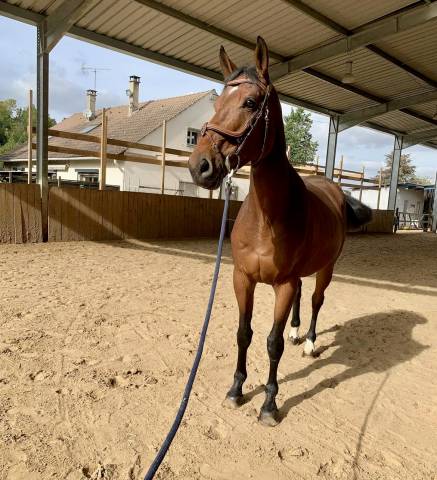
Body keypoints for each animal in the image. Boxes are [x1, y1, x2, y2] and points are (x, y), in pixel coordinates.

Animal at [186, 38, 370, 428]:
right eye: (217, 104)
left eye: (250, 103)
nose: (200, 166)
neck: (266, 217)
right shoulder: (243, 278)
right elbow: (244, 333)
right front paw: (236, 390)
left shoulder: (282, 284)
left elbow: (273, 343)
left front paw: (269, 404)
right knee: (302, 299)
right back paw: (298, 331)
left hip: (326, 269)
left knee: (315, 300)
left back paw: (311, 341)